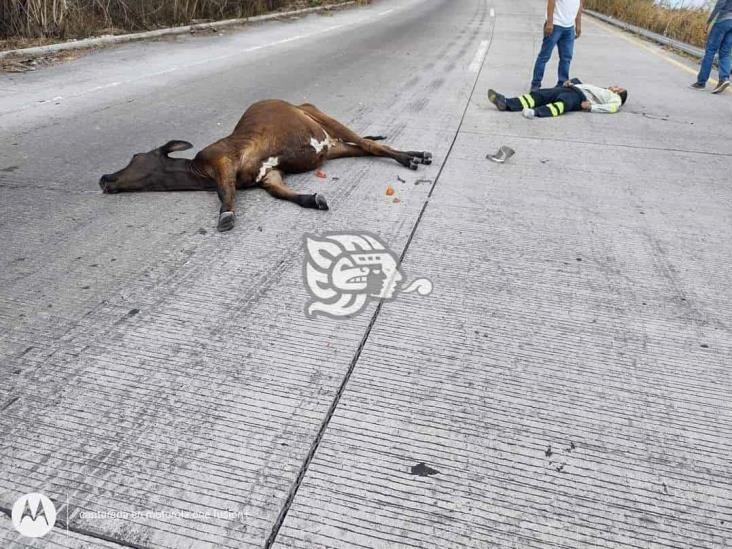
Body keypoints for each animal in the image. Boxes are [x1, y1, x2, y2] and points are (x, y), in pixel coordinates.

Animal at [103, 99, 434, 230]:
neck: (198, 172)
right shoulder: (269, 175)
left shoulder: (220, 159)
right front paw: (313, 199)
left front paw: (226, 216)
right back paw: (418, 153)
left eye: (135, 157)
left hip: (321, 116)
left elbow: (225, 192)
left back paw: (410, 159)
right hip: (332, 149)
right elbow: (280, 192)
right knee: (364, 147)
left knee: (370, 144)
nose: (104, 177)